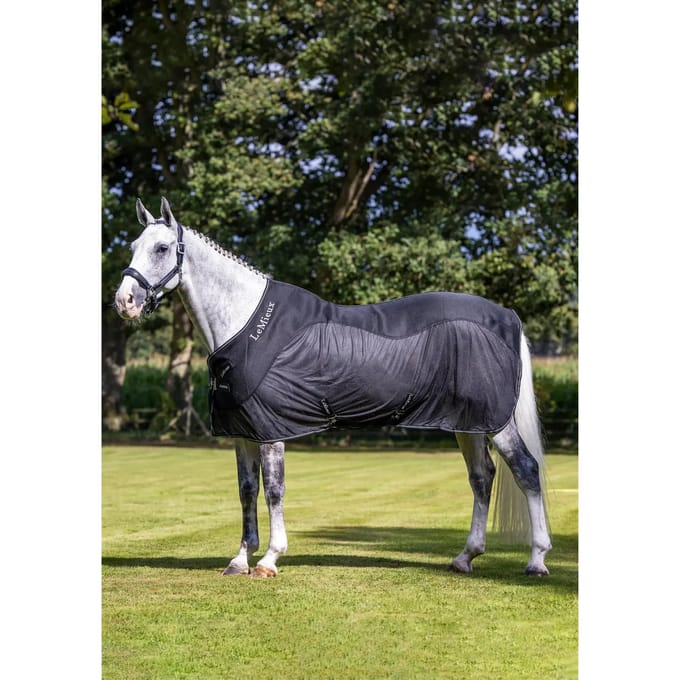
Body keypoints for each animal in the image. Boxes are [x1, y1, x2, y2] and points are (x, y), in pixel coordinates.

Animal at [114, 197, 551, 578]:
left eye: (162, 248)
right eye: (134, 246)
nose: (125, 301)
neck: (246, 323)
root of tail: (507, 316)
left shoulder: (271, 431)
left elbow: (273, 490)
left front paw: (269, 559)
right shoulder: (242, 433)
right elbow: (246, 491)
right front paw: (239, 560)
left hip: (496, 422)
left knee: (526, 470)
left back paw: (537, 560)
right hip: (468, 423)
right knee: (481, 477)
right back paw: (465, 557)